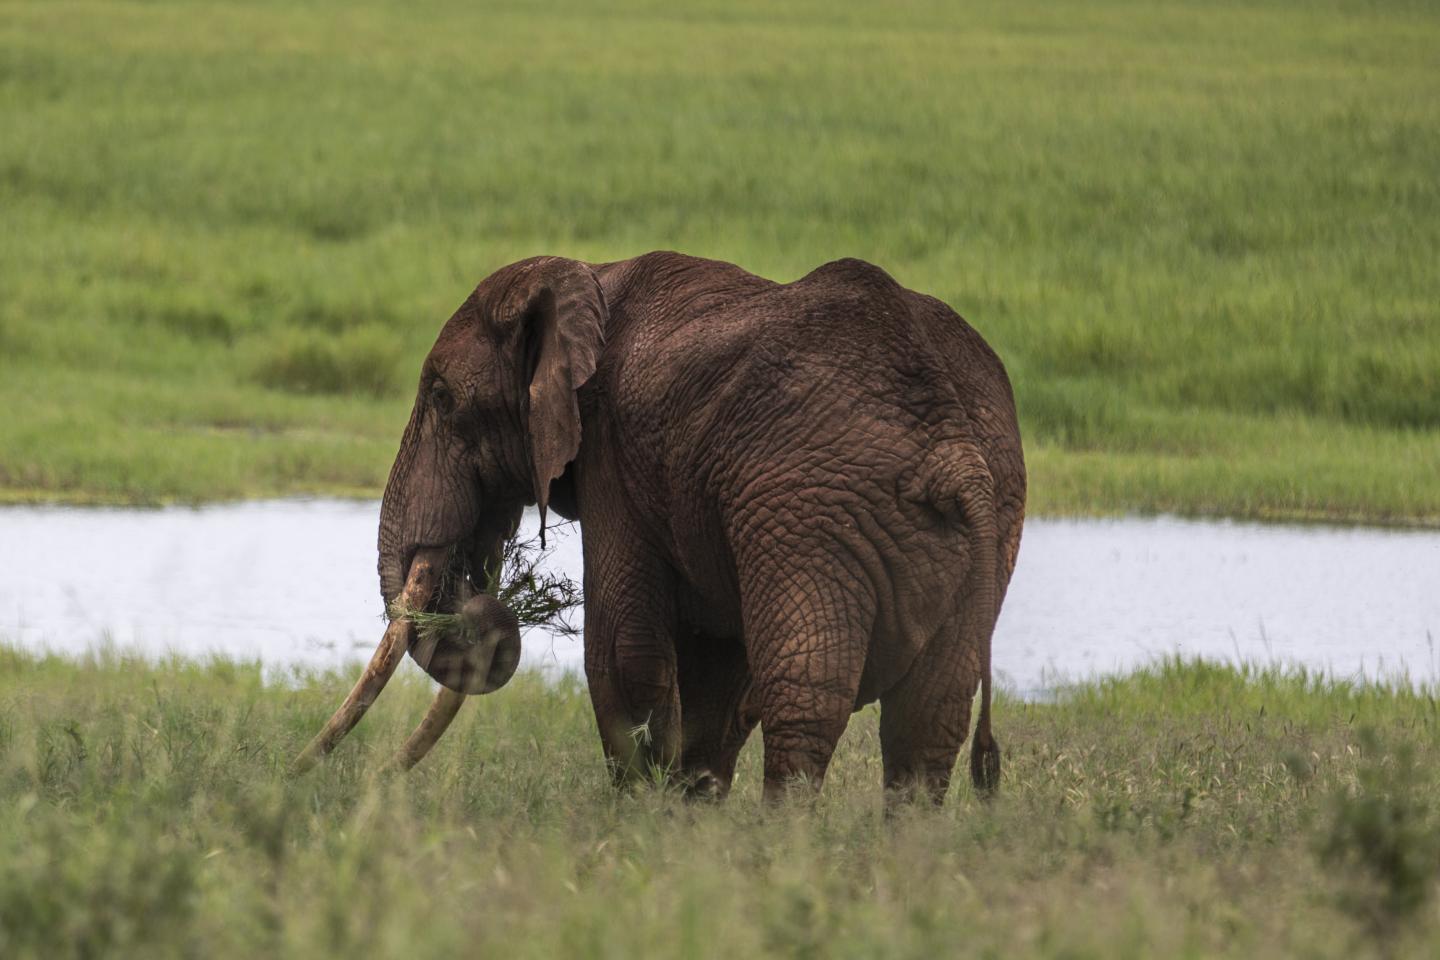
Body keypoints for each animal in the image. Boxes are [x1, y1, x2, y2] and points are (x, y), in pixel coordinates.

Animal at [296, 251, 1026, 804]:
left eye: (444, 400)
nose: (298, 772)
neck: (588, 279)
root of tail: (953, 451)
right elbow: (717, 671)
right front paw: (684, 819)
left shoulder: (614, 453)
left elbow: (622, 648)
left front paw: (638, 823)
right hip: (983, 518)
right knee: (930, 717)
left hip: (813, 505)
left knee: (806, 693)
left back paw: (781, 850)